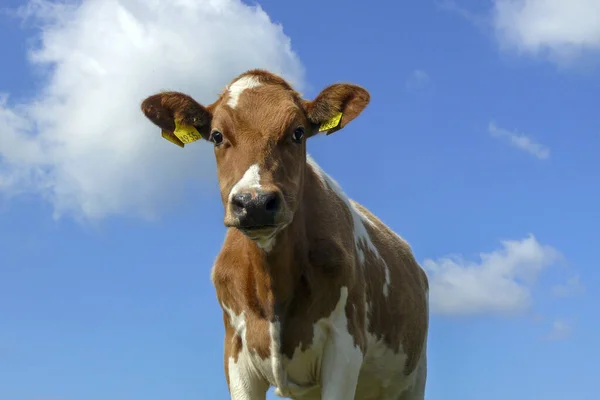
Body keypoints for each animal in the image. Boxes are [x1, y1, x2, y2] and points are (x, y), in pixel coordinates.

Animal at [141, 70, 432, 398]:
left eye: (298, 133)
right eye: (216, 136)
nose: (255, 203)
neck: (273, 288)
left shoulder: (345, 346)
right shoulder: (235, 352)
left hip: (413, 379)